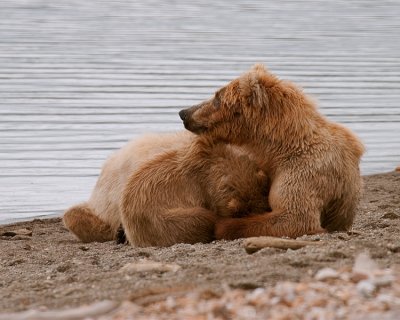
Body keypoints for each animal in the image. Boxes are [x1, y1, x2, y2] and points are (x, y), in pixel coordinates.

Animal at [180, 63, 364, 240]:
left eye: (217, 98)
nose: (184, 113)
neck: (279, 147)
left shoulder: (305, 172)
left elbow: (294, 219)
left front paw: (221, 224)